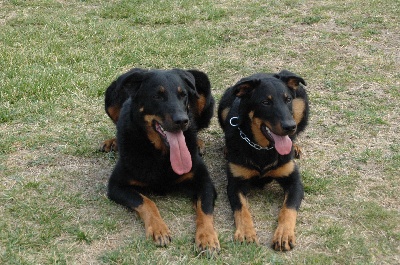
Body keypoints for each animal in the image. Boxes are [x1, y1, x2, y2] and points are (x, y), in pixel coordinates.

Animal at [102, 67, 219, 252]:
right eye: (157, 96)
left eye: (183, 95)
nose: (182, 120)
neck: (162, 152)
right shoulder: (116, 186)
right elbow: (147, 202)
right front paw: (159, 229)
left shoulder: (205, 181)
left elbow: (205, 209)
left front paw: (207, 237)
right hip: (110, 97)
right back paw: (113, 141)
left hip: (203, 87)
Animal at [219, 69, 306, 251]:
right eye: (265, 102)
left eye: (287, 99)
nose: (290, 126)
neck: (262, 148)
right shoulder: (235, 183)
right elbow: (242, 209)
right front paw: (246, 232)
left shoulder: (294, 181)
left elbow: (288, 209)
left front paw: (284, 234)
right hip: (223, 106)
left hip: (301, 102)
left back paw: (295, 146)